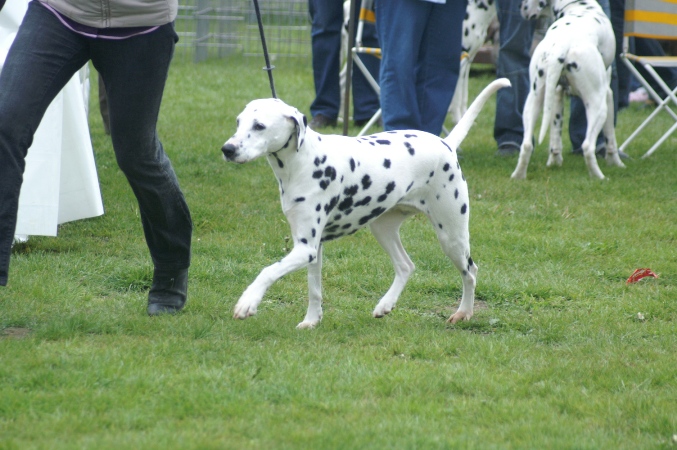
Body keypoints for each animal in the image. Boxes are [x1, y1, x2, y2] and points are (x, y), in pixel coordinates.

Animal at [224, 79, 510, 328]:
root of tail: (446, 143)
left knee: (470, 272)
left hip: (452, 237)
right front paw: (312, 321)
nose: (227, 149)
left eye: (259, 125)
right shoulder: (312, 248)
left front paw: (248, 302)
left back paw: (464, 312)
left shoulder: (305, 249)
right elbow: (314, 290)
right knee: (406, 266)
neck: (304, 161)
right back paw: (386, 304)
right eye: (238, 122)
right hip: (382, 229)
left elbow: (267, 271)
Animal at [510, 0, 624, 179]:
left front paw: (554, 162)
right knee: (587, 147)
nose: (521, 7)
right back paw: (599, 177)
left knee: (527, 144)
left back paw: (518, 175)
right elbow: (610, 138)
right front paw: (617, 163)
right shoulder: (608, 95)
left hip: (533, 102)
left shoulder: (557, 93)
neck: (575, 6)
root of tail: (561, 45)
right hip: (598, 107)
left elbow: (555, 139)